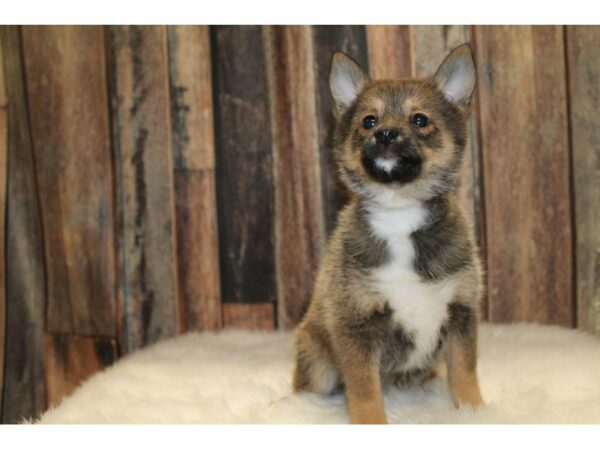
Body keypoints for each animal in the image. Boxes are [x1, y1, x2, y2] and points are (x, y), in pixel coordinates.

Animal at [292, 44, 486, 424]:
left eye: (420, 120)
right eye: (369, 120)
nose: (385, 134)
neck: (400, 213)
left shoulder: (462, 311)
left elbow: (464, 372)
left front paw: (475, 410)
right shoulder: (356, 323)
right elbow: (365, 390)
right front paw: (371, 422)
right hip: (317, 360)